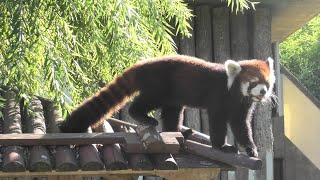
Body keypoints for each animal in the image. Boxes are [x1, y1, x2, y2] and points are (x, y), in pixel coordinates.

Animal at [59, 54, 276, 158]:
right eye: (254, 82)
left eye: (267, 82)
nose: (263, 92)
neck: (234, 92)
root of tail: (140, 66)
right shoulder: (218, 98)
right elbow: (217, 122)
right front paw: (221, 146)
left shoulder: (242, 105)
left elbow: (241, 126)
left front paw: (251, 148)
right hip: (159, 85)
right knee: (144, 103)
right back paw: (143, 117)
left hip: (173, 95)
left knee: (173, 112)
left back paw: (178, 131)